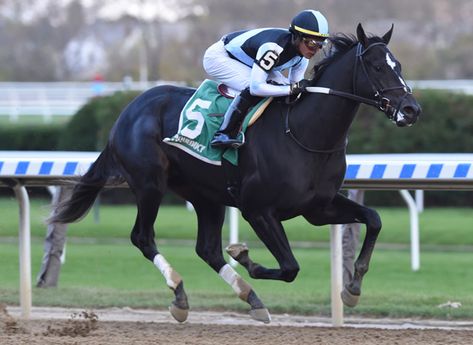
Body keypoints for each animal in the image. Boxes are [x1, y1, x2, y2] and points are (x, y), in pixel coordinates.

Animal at [50, 24, 420, 322]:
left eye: (399, 65)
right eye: (377, 67)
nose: (411, 109)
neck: (304, 133)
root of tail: (127, 112)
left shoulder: (319, 207)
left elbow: (374, 219)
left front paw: (352, 288)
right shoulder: (258, 210)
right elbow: (290, 267)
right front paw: (246, 256)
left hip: (205, 196)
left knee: (208, 249)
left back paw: (250, 298)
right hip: (149, 184)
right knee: (143, 237)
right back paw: (180, 292)